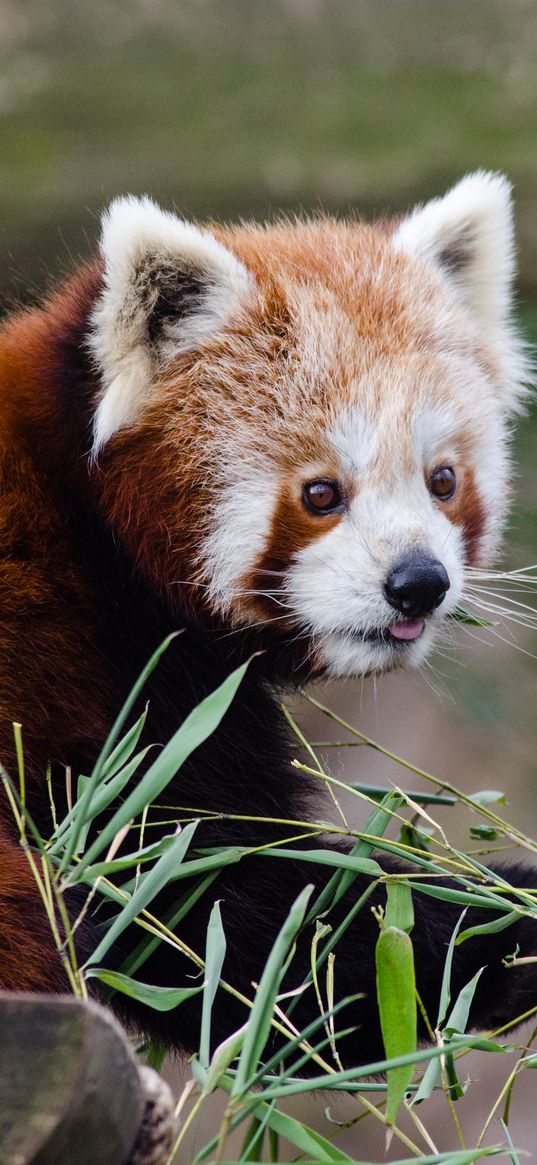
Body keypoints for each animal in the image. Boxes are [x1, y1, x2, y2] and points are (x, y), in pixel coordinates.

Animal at [0, 172, 533, 1067]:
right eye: (320, 493)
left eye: (442, 480)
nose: (417, 583)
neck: (95, 531)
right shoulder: (100, 680)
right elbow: (220, 918)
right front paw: (500, 919)